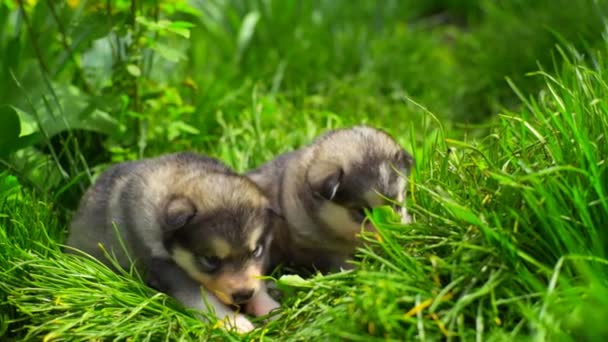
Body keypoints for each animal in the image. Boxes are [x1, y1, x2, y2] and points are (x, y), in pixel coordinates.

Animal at [67, 153, 282, 334]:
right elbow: (202, 298)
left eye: (256, 251)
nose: (244, 295)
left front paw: (268, 306)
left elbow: (257, 279)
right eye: (211, 259)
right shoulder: (166, 267)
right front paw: (233, 321)